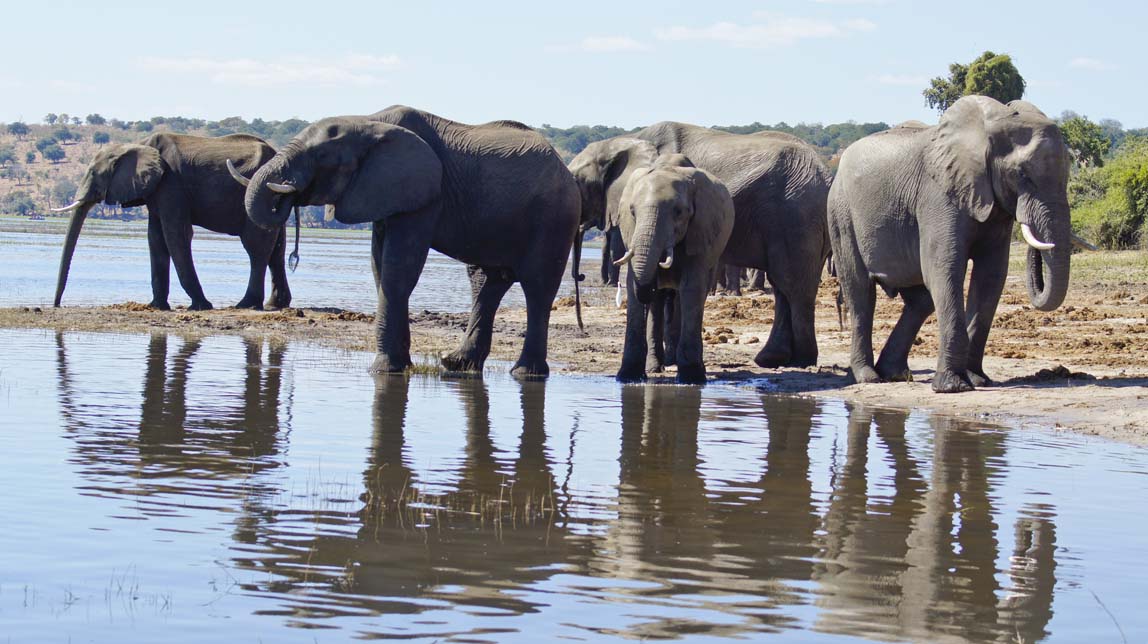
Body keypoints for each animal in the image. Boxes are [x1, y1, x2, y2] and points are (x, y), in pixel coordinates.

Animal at [54, 132, 298, 309]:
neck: (136, 145)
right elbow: (155, 238)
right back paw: (275, 304)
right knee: (276, 250)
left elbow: (176, 235)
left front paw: (201, 306)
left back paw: (246, 305)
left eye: (93, 174)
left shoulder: (171, 184)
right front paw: (156, 306)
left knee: (256, 248)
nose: (56, 305)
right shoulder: (157, 189)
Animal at [831, 92, 1079, 390]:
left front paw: (978, 380)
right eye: (1021, 174)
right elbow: (945, 269)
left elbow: (991, 276)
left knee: (920, 301)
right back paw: (870, 377)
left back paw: (894, 374)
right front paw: (953, 387)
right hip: (841, 215)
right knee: (860, 294)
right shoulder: (938, 195)